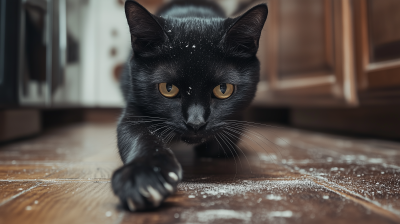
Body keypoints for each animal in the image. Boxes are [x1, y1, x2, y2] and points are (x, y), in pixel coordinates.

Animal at [111, 0, 268, 211]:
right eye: (168, 88)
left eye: (223, 89)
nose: (196, 123)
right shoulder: (135, 108)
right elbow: (137, 135)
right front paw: (142, 175)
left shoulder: (236, 117)